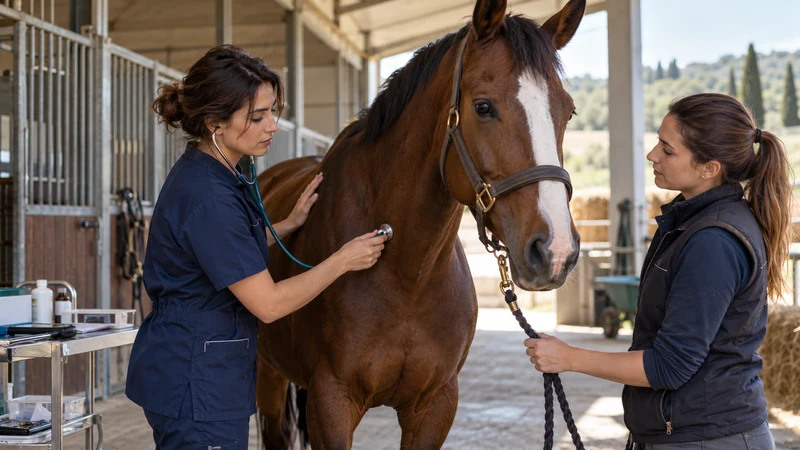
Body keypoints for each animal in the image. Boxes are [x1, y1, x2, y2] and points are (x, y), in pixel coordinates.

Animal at [255, 0, 585, 447]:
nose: (555, 251)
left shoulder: (435, 404)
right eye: (483, 106)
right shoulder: (331, 403)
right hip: (268, 376)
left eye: (567, 111)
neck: (406, 276)